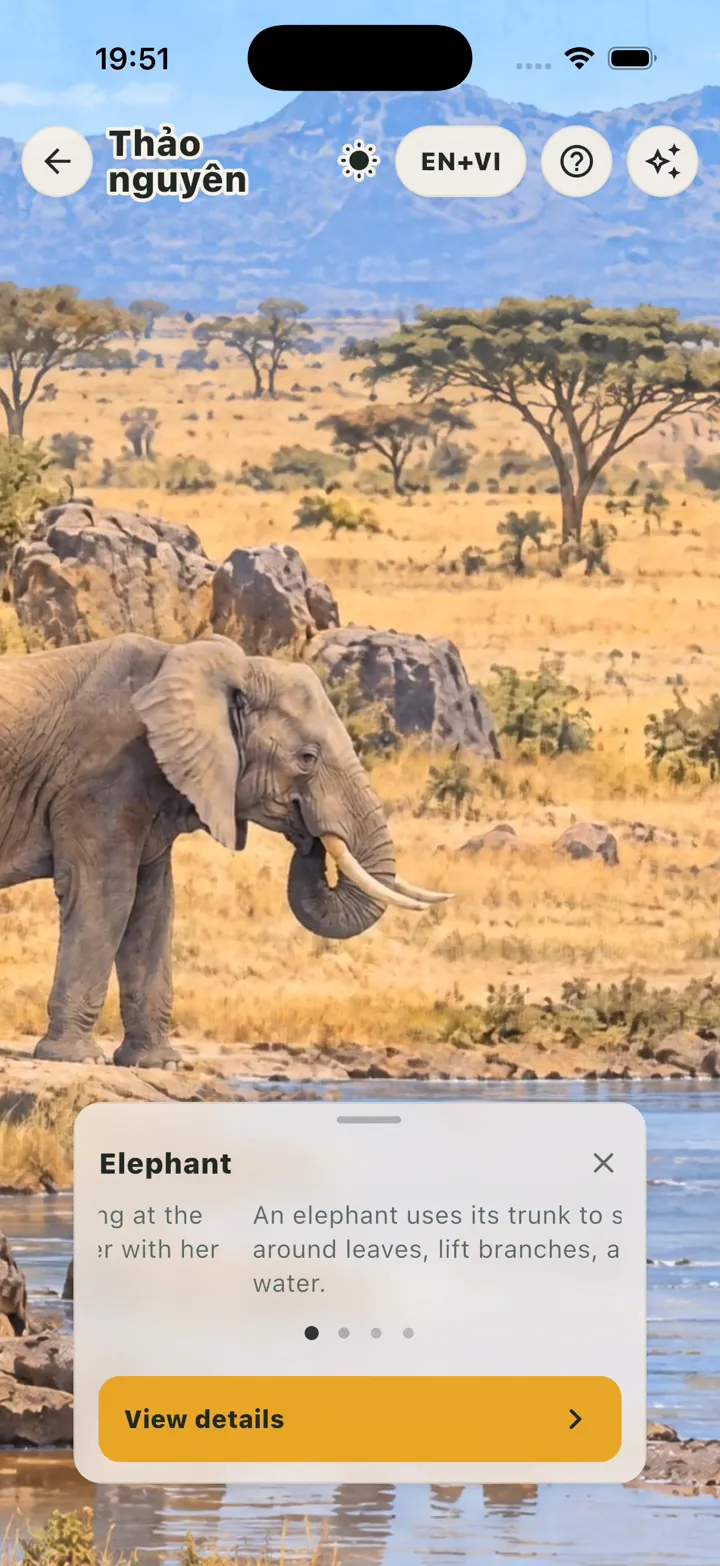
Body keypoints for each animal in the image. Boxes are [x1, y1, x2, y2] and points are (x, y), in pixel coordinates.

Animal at [0, 633, 450, 1067]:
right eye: (307, 758)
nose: (310, 835)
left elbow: (153, 905)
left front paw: (158, 1064)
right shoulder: (102, 779)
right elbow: (106, 896)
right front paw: (76, 1058)